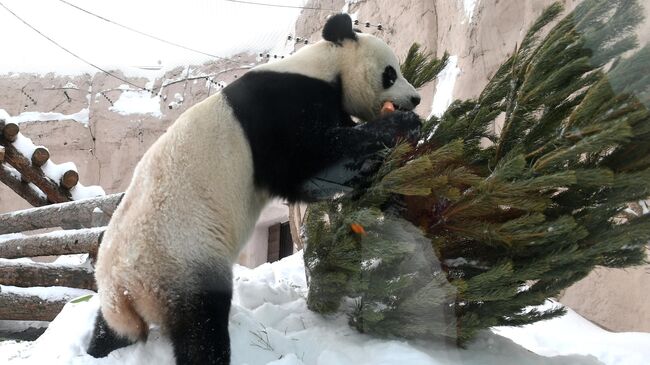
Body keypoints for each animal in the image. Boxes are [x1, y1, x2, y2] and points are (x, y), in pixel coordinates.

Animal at [86, 13, 420, 364]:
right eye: (390, 73)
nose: (415, 98)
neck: (324, 66)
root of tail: (123, 287)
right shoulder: (279, 109)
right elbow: (309, 164)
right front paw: (402, 127)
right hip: (180, 260)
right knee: (201, 323)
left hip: (129, 286)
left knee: (110, 329)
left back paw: (99, 349)